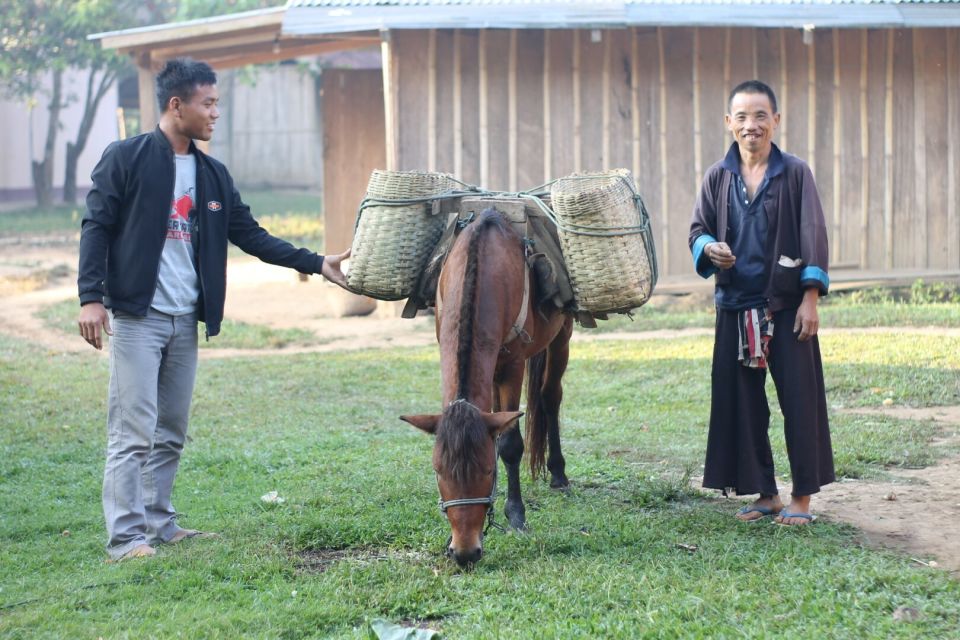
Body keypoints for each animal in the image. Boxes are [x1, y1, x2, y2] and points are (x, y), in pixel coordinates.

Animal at [398, 206, 568, 564]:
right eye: (438, 473)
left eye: (489, 472)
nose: (464, 553)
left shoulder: (513, 367)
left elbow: (510, 444)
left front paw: (516, 515)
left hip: (562, 335)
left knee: (550, 396)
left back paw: (559, 474)